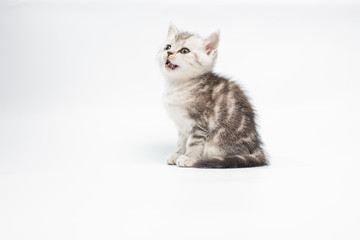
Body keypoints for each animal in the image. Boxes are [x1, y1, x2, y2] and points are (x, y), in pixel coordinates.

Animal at [158, 23, 268, 168]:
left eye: (184, 51)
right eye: (168, 47)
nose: (169, 53)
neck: (178, 85)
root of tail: (256, 145)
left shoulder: (200, 123)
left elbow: (193, 143)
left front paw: (189, 158)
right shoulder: (182, 125)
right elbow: (181, 142)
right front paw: (177, 154)